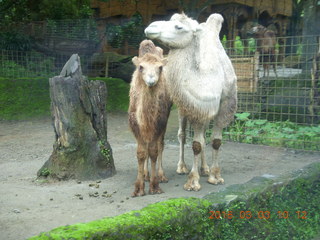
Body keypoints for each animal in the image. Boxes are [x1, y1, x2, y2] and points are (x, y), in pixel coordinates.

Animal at [128, 39, 171, 197]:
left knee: (161, 144)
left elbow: (153, 151)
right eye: (141, 67)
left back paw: (162, 175)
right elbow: (141, 153)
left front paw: (154, 186)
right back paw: (146, 175)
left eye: (160, 67)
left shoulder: (159, 121)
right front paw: (138, 189)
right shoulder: (134, 123)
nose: (151, 80)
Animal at [145, 13, 238, 191]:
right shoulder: (194, 108)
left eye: (179, 27)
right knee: (182, 135)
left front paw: (215, 176)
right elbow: (196, 145)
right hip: (183, 108)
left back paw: (205, 168)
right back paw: (182, 167)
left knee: (203, 137)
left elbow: (215, 141)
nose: (150, 27)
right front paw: (193, 182)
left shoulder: (222, 108)